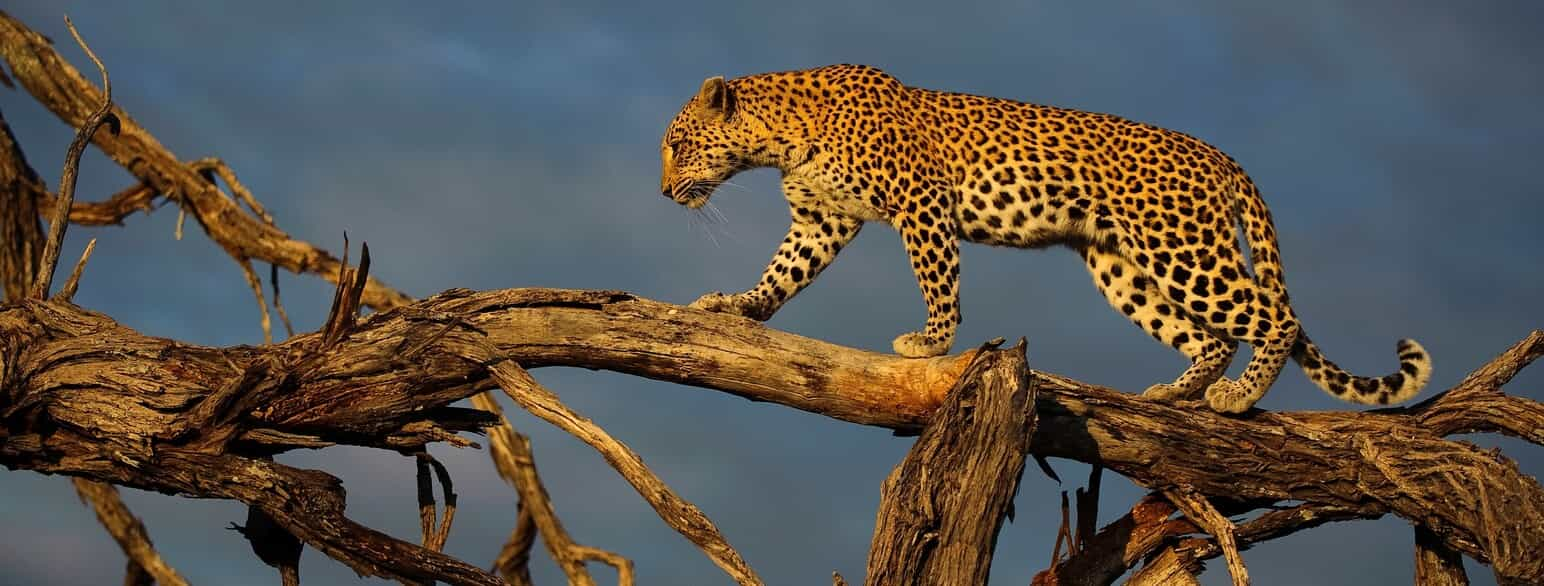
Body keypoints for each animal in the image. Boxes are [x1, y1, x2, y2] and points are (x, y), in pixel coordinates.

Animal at [657, 63, 1426, 413]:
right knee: (1212, 336)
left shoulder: (922, 204)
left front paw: (930, 343)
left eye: (677, 144)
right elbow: (781, 273)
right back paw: (1174, 393)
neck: (778, 139)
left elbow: (938, 279)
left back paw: (1236, 398)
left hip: (1181, 247)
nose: (663, 193)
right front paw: (735, 307)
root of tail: (1219, 156)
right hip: (1122, 266)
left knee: (1275, 317)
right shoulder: (822, 220)